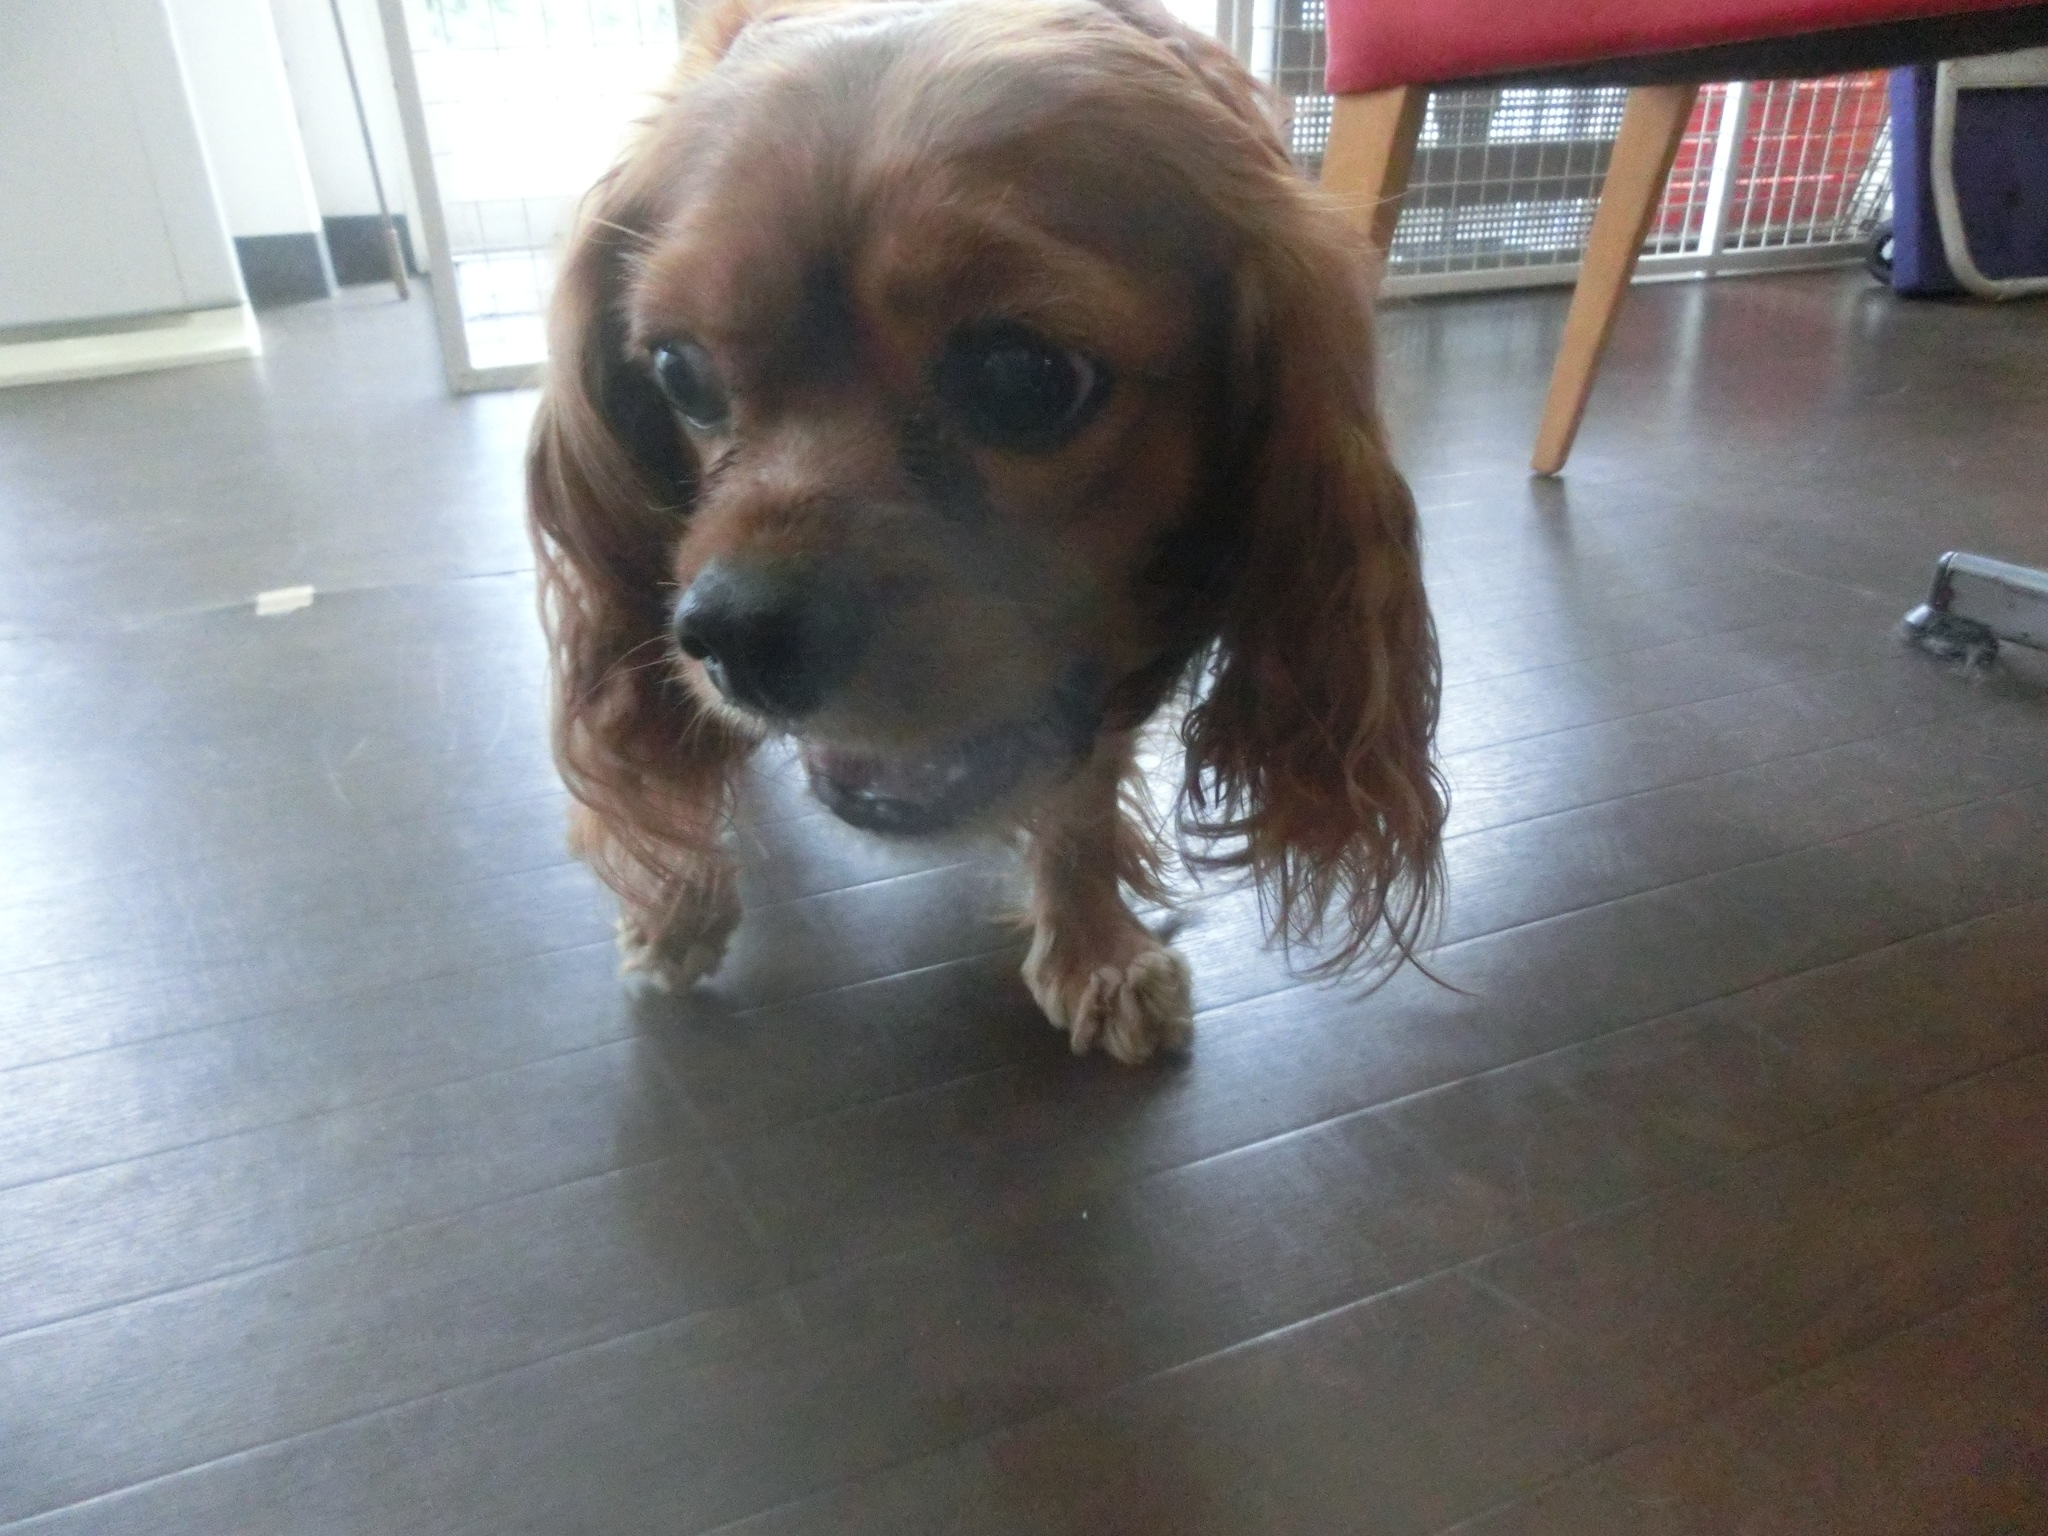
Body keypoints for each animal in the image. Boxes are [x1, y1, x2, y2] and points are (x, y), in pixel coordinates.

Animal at [527, 0, 1445, 1063]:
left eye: (1025, 376)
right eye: (678, 371)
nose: (740, 636)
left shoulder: (1102, 655)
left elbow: (1081, 799)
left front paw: (1091, 945)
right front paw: (674, 897)